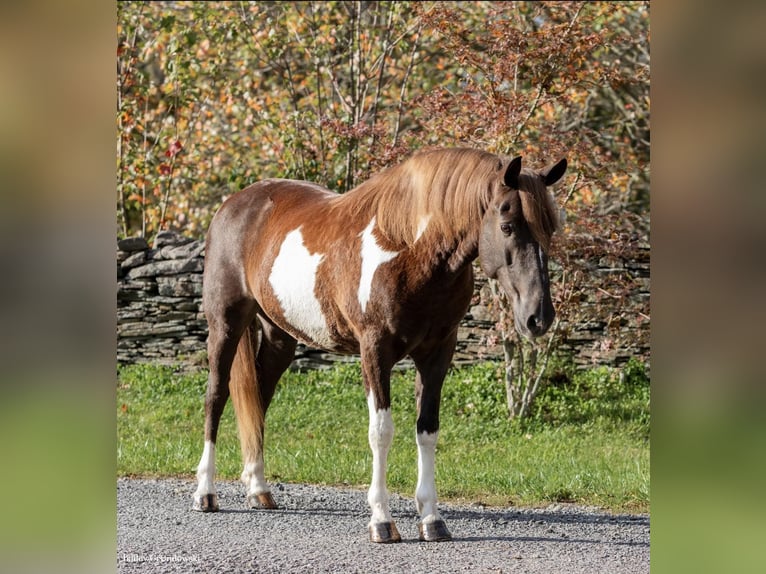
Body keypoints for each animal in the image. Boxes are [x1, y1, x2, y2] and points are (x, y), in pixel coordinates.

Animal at [190, 147, 564, 544]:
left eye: (551, 228)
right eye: (507, 226)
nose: (539, 317)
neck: (409, 249)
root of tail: (233, 204)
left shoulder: (437, 354)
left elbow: (427, 430)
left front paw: (431, 519)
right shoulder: (374, 352)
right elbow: (381, 432)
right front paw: (382, 520)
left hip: (279, 336)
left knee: (258, 400)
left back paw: (258, 487)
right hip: (225, 323)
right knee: (216, 396)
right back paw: (205, 492)